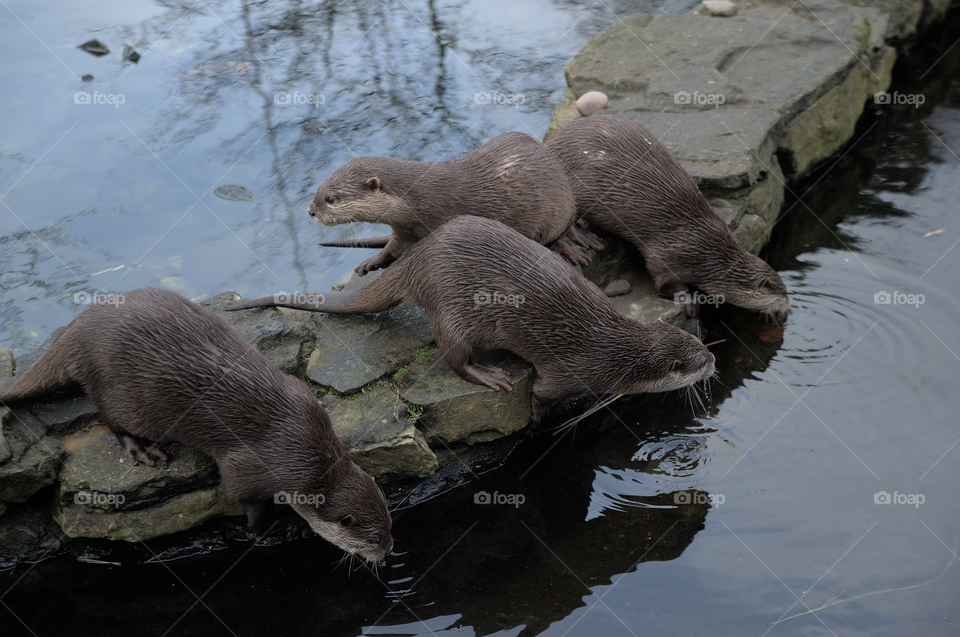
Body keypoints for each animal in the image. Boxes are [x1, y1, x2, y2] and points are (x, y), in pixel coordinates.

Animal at [0, 288, 392, 563]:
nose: (387, 552)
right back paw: (144, 449)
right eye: (371, 540)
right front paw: (264, 528)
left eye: (389, 526)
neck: (305, 451)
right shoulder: (248, 468)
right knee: (110, 419)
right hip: (118, 391)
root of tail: (80, 329)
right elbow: (244, 498)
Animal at [227, 216, 715, 422]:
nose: (714, 362)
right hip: (451, 312)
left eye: (703, 348)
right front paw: (538, 418)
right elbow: (541, 394)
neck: (616, 350)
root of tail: (418, 260)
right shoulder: (572, 373)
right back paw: (488, 374)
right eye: (698, 364)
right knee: (453, 357)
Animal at [309, 131, 603, 275]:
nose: (310, 211)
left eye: (330, 199)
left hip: (557, 207)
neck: (418, 200)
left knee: (557, 235)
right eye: (317, 190)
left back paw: (573, 249)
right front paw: (372, 262)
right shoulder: (404, 229)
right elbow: (391, 249)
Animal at [544, 114, 789, 317]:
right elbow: (665, 285)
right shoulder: (668, 257)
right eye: (782, 295)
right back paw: (582, 241)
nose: (788, 306)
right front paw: (690, 300)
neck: (710, 252)